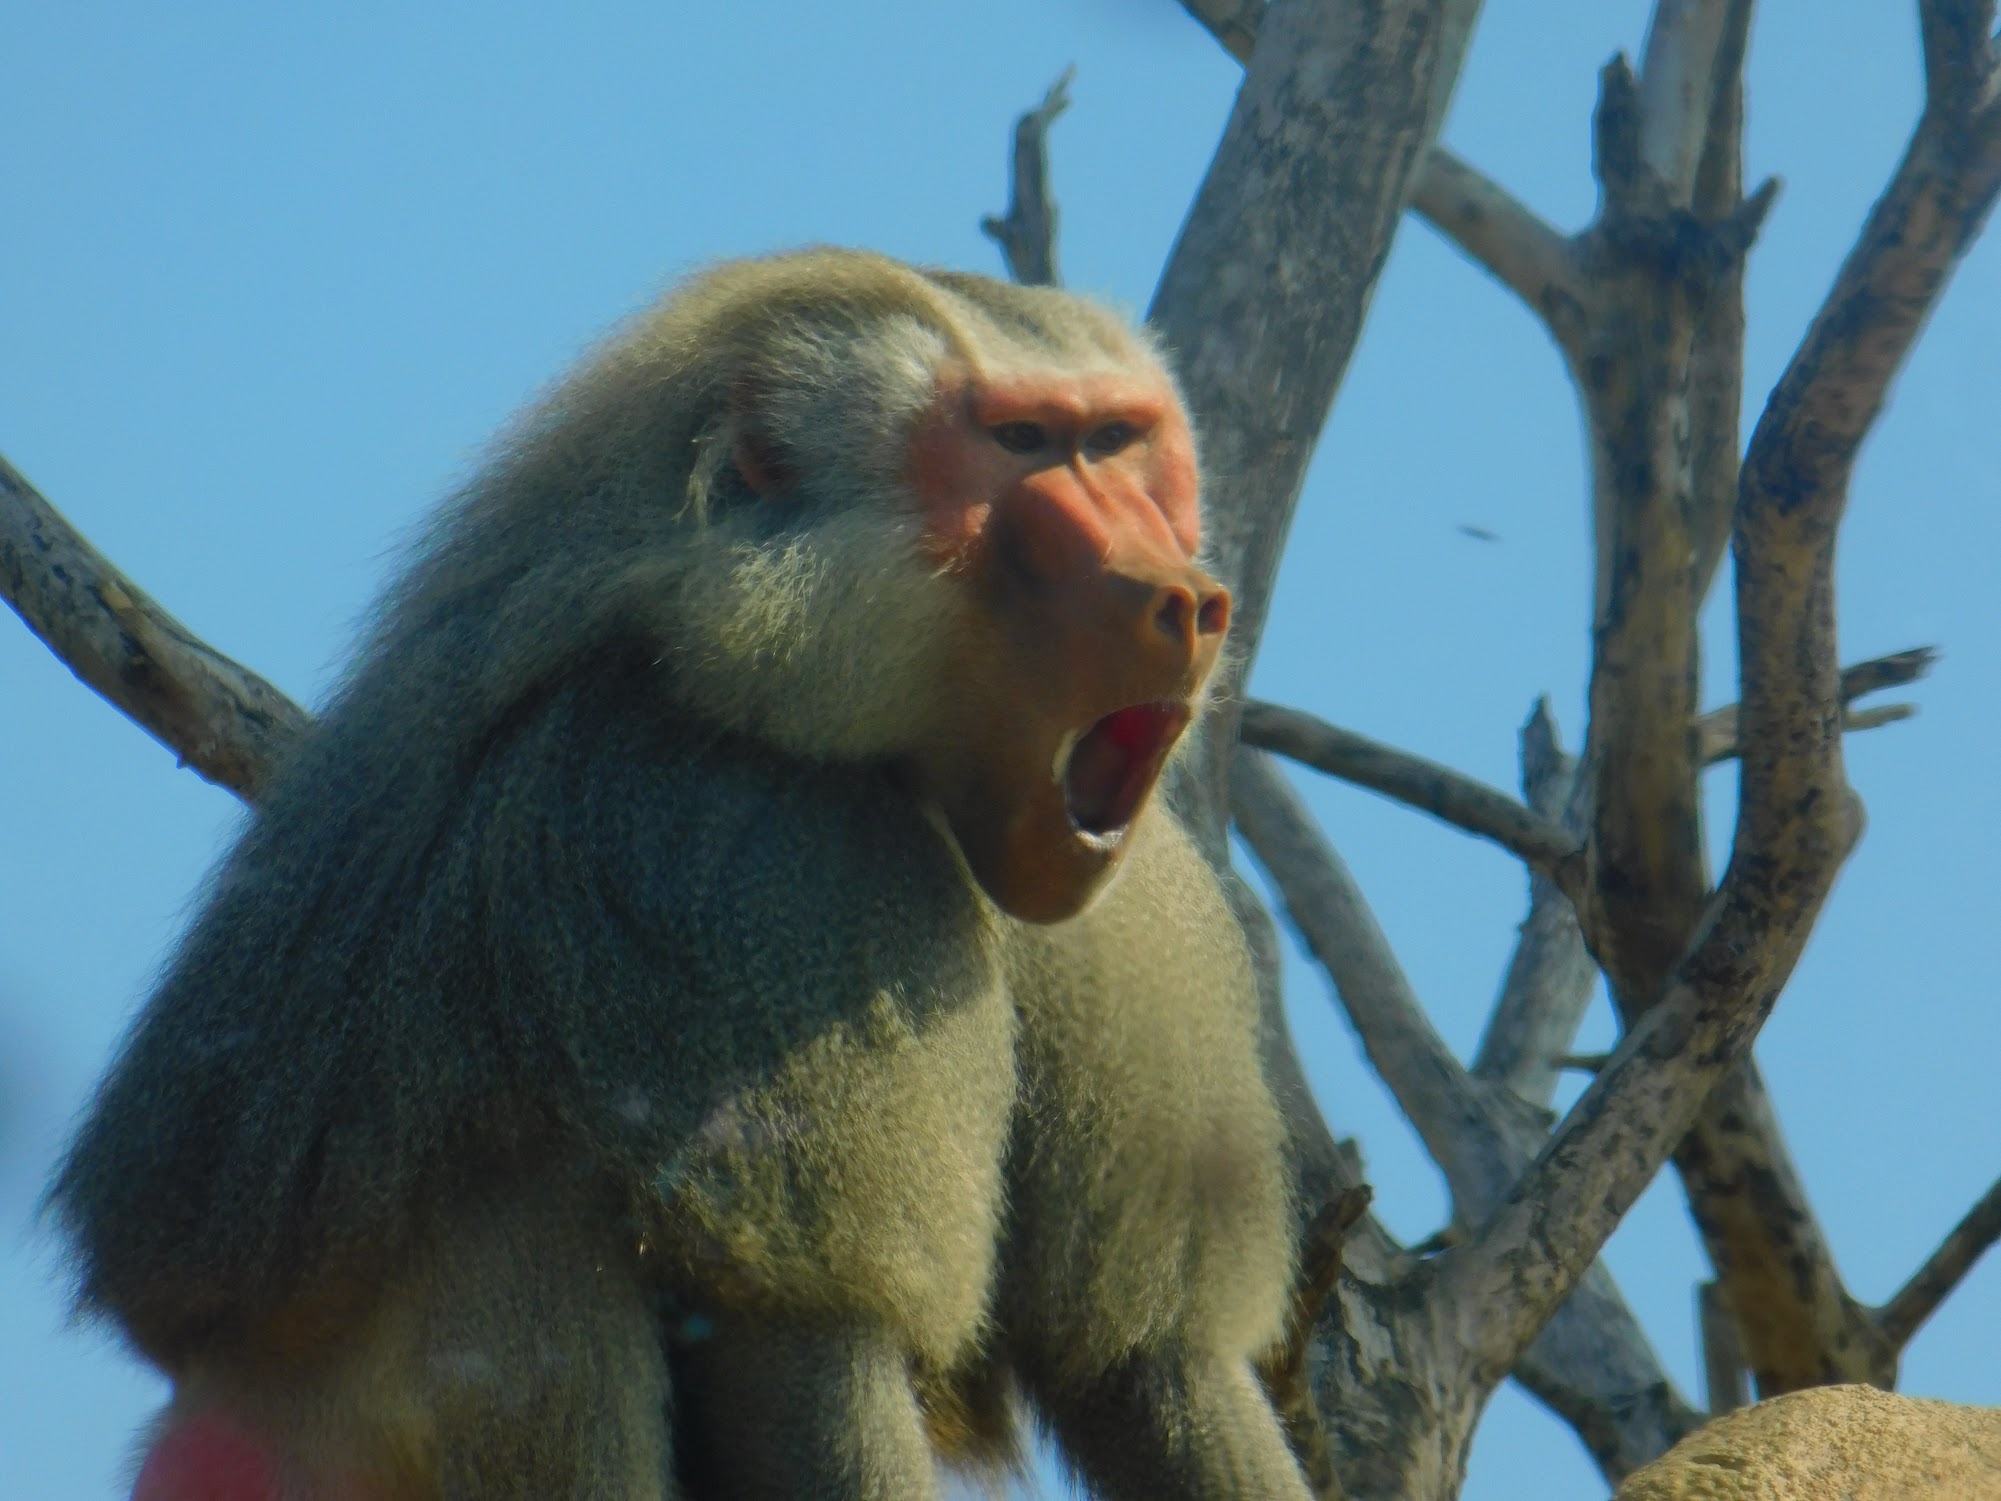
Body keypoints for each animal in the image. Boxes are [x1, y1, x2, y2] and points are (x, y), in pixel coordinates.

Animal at [44, 246, 1308, 1500]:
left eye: (1121, 439)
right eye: (1023, 442)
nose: (1190, 600)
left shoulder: (1135, 911)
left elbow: (1156, 1366)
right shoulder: (746, 841)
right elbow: (811, 1338)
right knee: (518, 1212)